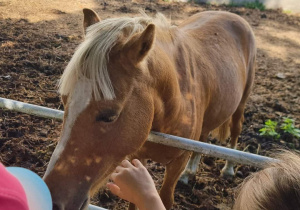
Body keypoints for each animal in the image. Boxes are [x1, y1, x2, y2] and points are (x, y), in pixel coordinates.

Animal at [44, 8, 255, 210]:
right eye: (64, 101)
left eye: (110, 115)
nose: (52, 202)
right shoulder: (138, 156)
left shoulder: (177, 163)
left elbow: (165, 198)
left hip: (241, 102)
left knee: (236, 129)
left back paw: (229, 168)